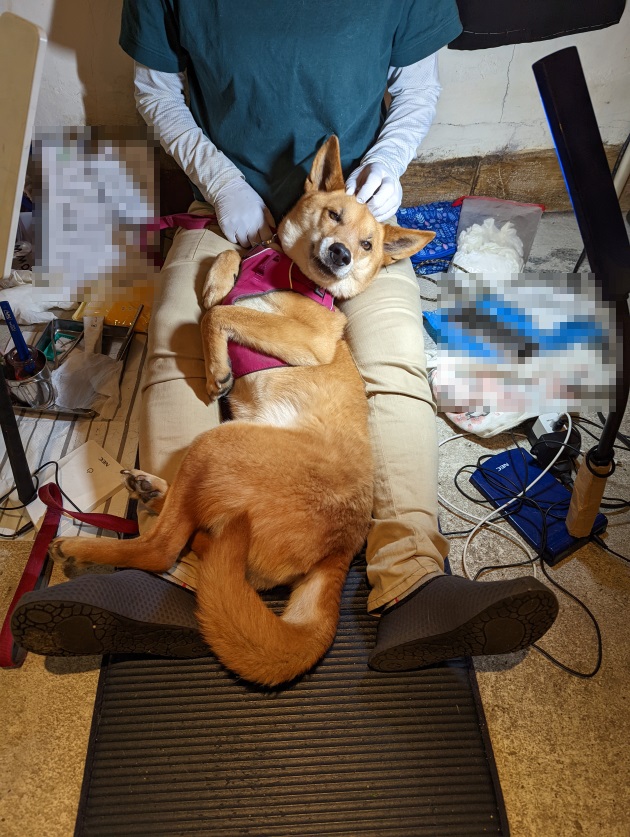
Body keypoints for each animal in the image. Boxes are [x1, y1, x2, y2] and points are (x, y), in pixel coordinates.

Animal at [49, 136, 434, 686]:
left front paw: (217, 367)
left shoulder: (310, 339)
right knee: (190, 534)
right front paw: (218, 278)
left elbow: (218, 314)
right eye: (334, 214)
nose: (340, 254)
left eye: (367, 246)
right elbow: (229, 259)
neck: (286, 273)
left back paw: (85, 548)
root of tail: (340, 550)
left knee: (162, 549)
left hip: (218, 445)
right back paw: (152, 490)